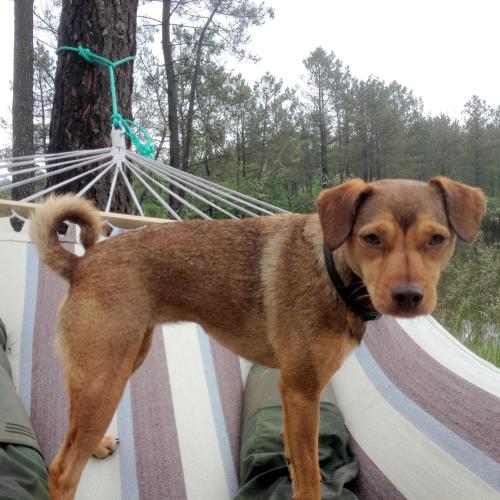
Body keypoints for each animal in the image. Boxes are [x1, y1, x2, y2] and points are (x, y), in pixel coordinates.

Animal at [28, 177, 484, 500]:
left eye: (437, 239)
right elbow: (308, 480)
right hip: (106, 377)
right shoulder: (302, 389)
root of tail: (81, 264)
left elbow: (297, 459)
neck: (332, 271)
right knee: (62, 470)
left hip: (120, 362)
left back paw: (98, 445)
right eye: (371, 238)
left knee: (73, 430)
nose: (408, 297)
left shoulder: (294, 395)